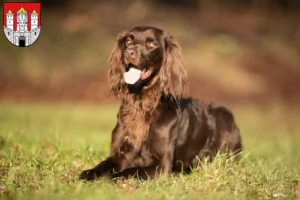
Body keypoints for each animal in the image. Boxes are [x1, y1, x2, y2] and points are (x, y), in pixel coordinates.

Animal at [79, 25, 241, 180]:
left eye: (151, 44)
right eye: (129, 41)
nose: (129, 53)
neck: (142, 103)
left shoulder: (162, 166)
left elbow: (131, 170)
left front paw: (114, 177)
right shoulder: (120, 154)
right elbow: (103, 164)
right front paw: (89, 173)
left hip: (223, 113)